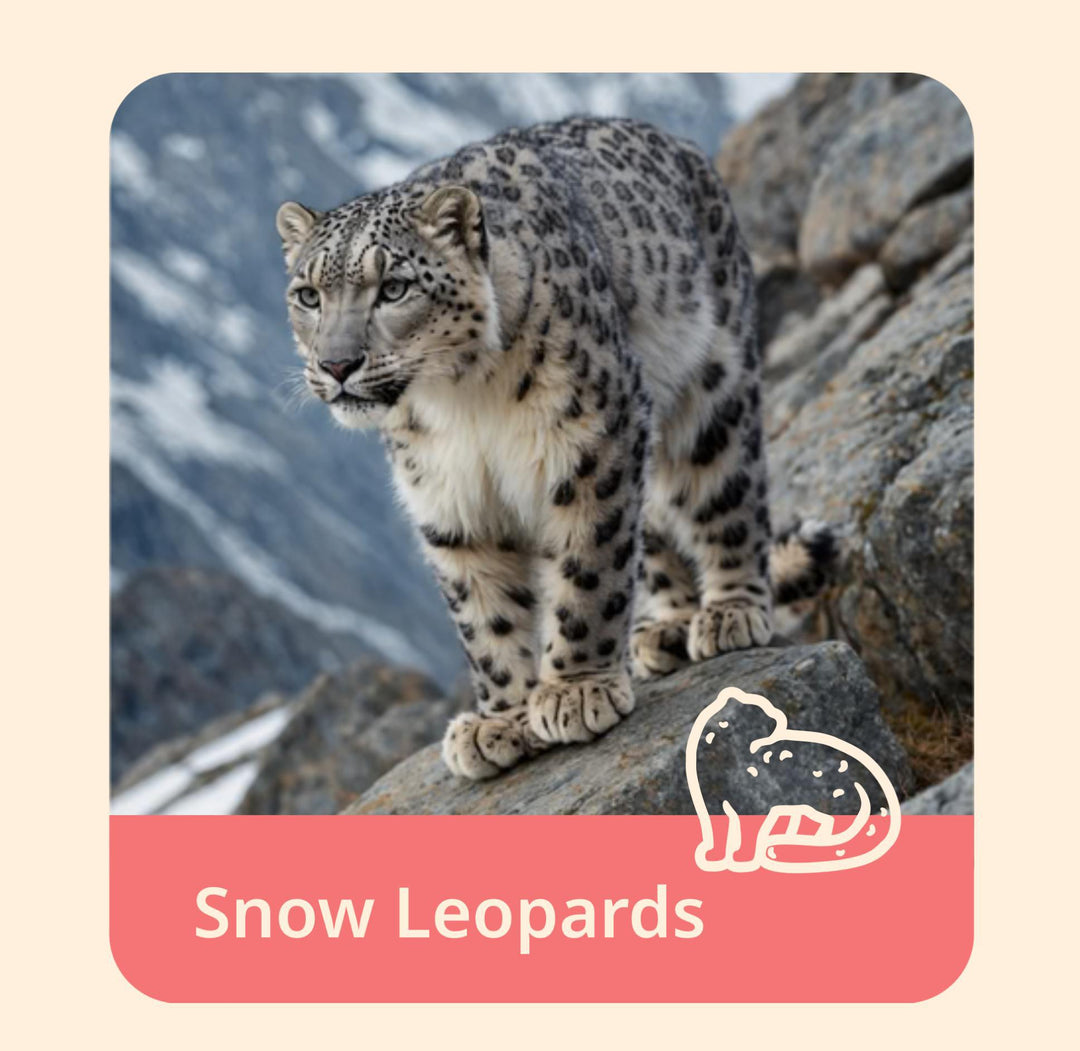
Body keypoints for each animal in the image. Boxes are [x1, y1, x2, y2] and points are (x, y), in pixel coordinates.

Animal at [275, 116, 834, 781]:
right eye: (308, 296)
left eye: (393, 287)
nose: (336, 365)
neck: (461, 402)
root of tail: (680, 144)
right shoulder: (446, 494)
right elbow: (483, 611)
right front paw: (501, 720)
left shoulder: (594, 442)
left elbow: (589, 567)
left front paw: (575, 690)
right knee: (653, 532)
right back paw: (666, 628)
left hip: (711, 385)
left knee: (725, 490)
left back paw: (729, 611)